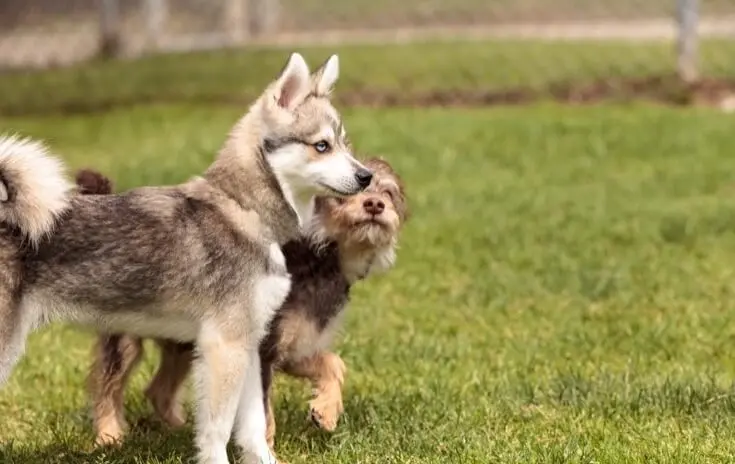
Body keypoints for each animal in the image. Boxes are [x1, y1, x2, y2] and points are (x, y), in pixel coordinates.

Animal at [0, 51, 370, 464]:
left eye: (344, 144)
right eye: (321, 146)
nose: (366, 176)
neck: (245, 211)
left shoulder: (249, 345)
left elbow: (253, 427)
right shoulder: (225, 347)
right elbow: (218, 430)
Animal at [83, 157, 412, 454]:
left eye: (388, 192)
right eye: (342, 191)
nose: (375, 204)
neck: (317, 257)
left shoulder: (294, 346)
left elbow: (333, 363)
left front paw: (326, 411)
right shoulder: (262, 349)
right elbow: (263, 414)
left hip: (185, 346)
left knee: (158, 391)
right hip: (124, 340)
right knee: (107, 387)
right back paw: (109, 437)